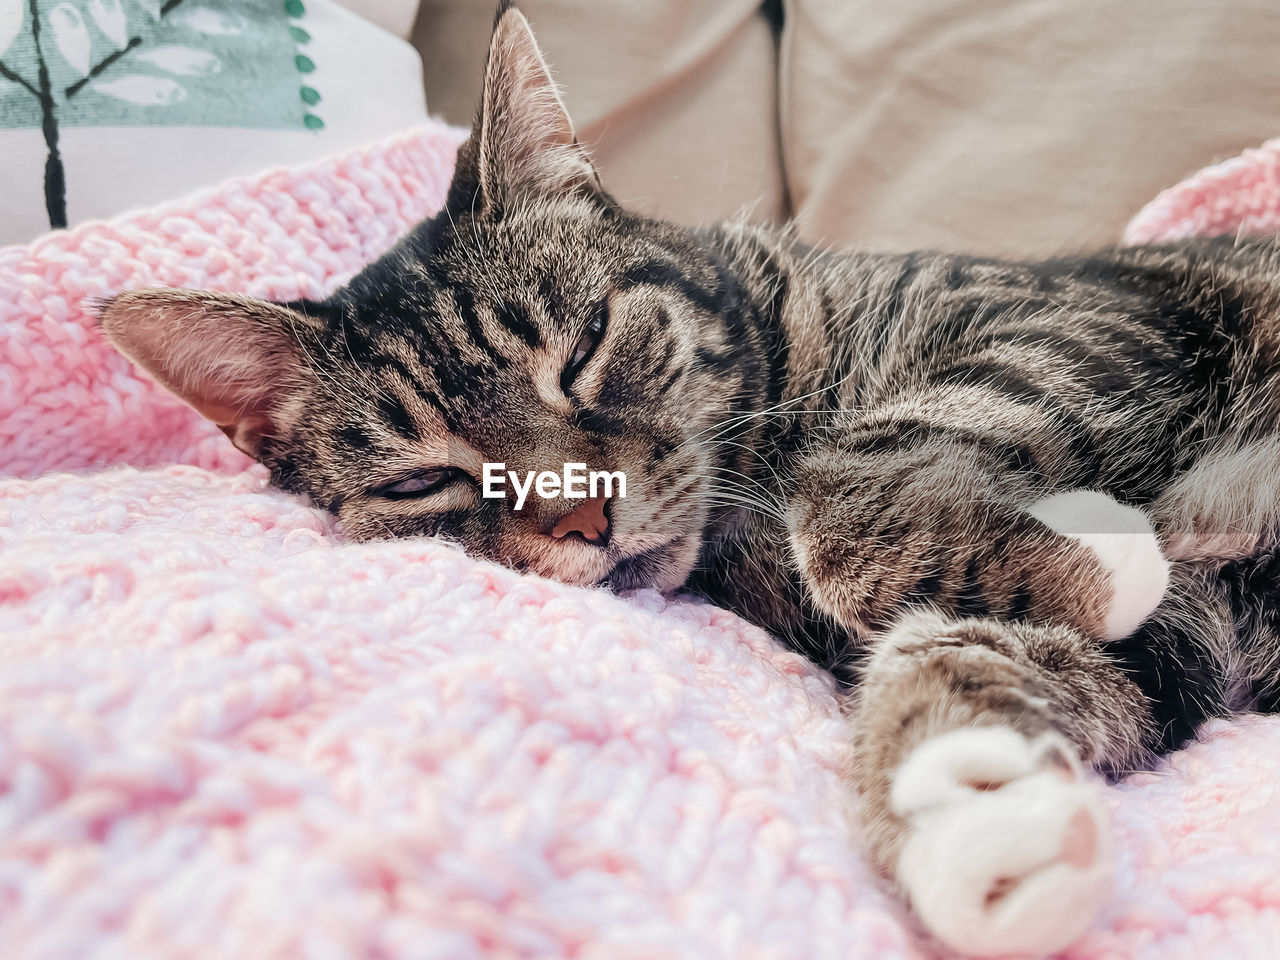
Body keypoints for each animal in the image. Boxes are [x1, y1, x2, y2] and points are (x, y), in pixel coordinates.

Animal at [97, 3, 1280, 957]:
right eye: (421, 482)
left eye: (583, 349)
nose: (583, 517)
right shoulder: (1172, 642)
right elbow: (977, 645)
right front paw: (979, 805)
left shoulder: (1076, 316)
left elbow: (845, 495)